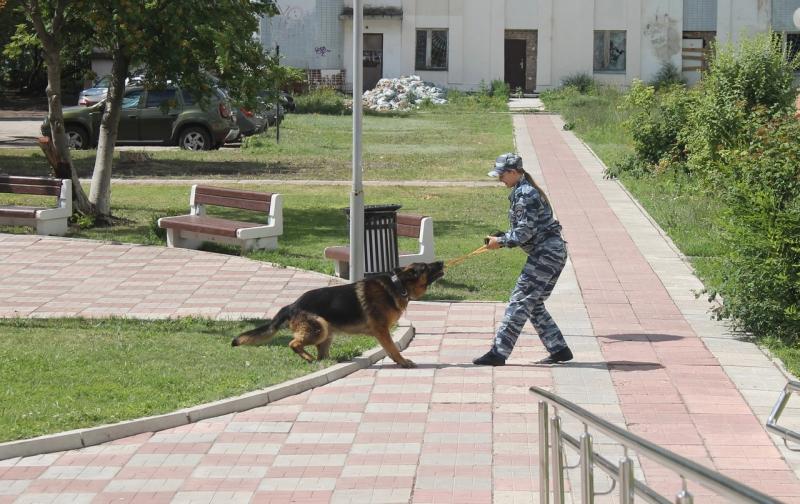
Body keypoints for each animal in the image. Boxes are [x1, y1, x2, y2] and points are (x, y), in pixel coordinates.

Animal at [231, 262, 446, 368]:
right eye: (426, 267)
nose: (442, 261)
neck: (398, 285)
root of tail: (292, 305)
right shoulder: (382, 331)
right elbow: (393, 349)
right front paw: (402, 362)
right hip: (320, 328)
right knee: (293, 343)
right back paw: (309, 358)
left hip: (327, 333)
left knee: (321, 353)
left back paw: (325, 361)